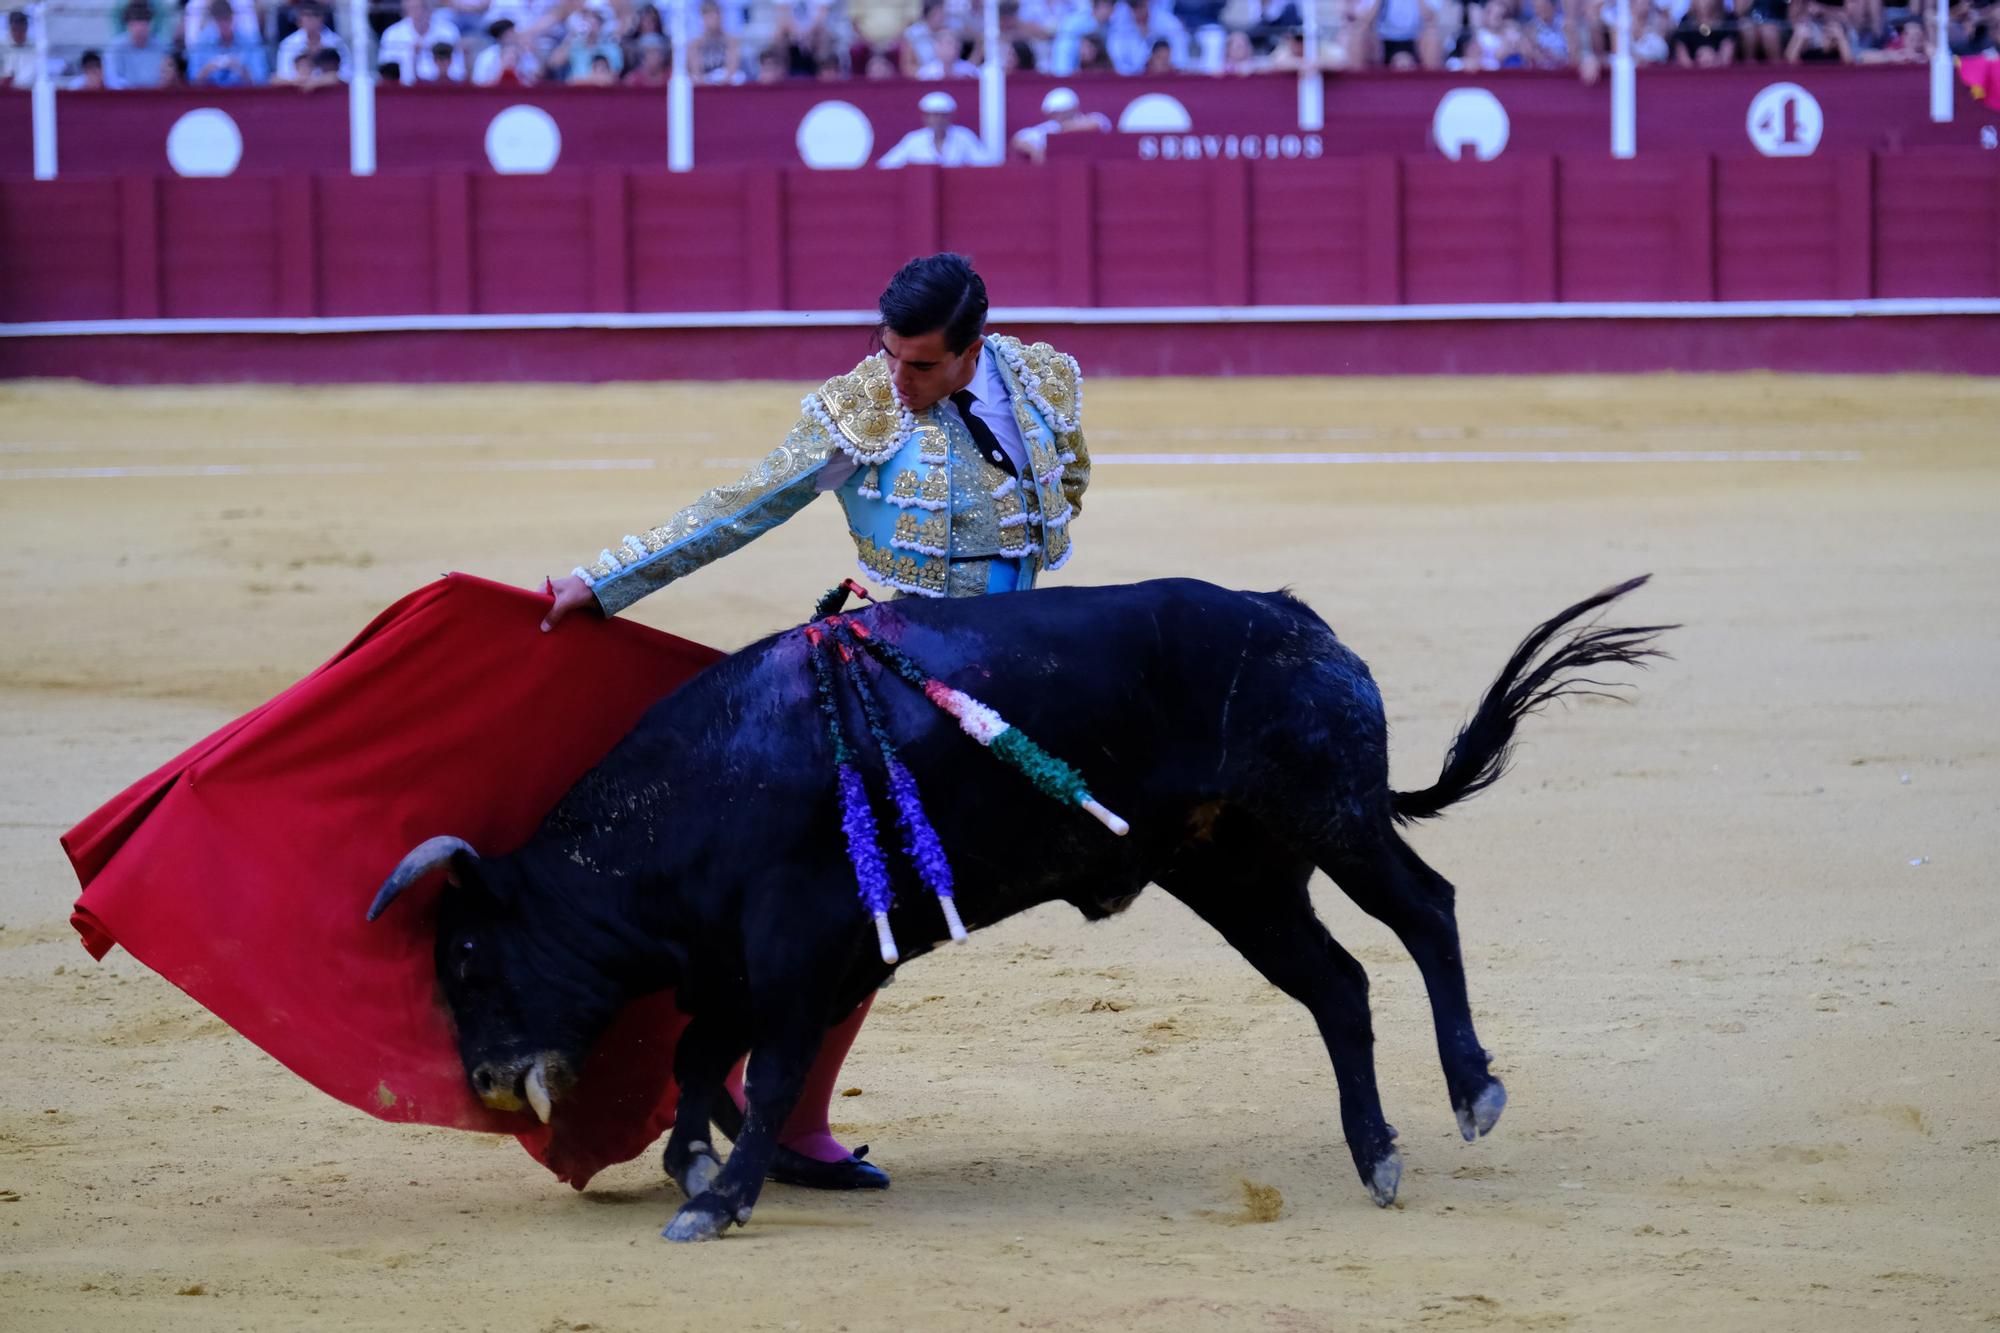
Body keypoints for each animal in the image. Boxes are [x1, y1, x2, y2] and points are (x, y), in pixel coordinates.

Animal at [368, 572, 1664, 1232]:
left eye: (469, 954)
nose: (486, 1081)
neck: (699, 790)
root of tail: (1302, 620)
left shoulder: (797, 949)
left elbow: (768, 1070)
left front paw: (718, 1199)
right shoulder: (743, 961)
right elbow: (700, 1059)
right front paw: (697, 1165)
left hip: (1326, 815)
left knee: (1425, 911)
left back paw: (1469, 1091)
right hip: (1234, 872)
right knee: (1336, 981)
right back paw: (1376, 1153)